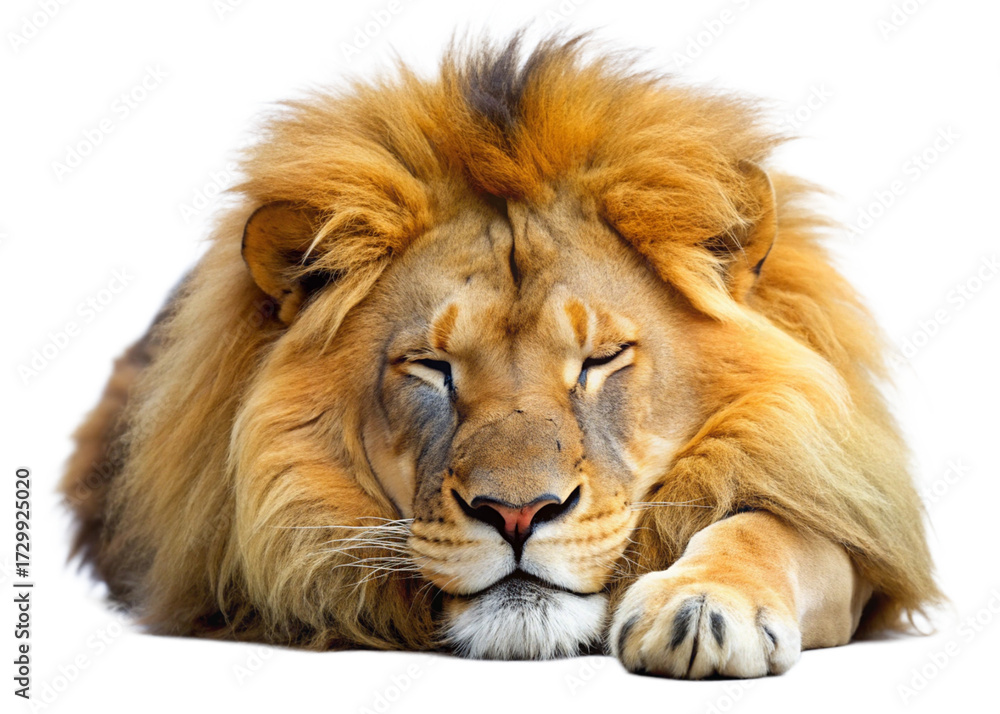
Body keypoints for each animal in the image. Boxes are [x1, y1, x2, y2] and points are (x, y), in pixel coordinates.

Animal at [61, 35, 940, 678]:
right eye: (432, 367)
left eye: (600, 359)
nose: (518, 515)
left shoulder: (848, 520)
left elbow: (773, 527)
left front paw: (703, 607)